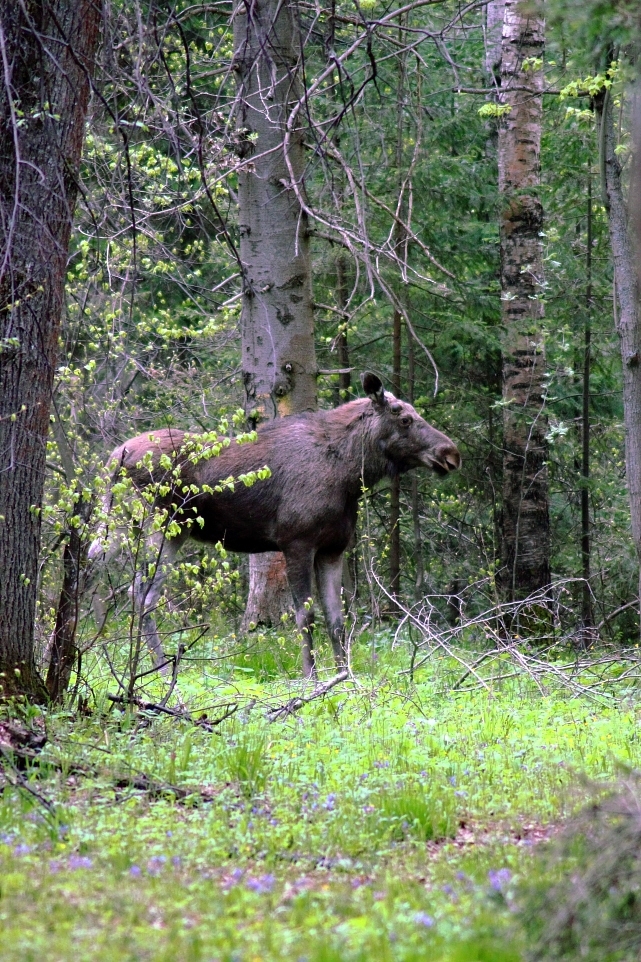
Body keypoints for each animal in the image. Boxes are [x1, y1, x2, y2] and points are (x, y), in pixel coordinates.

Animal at [90, 372, 460, 680]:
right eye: (404, 418)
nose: (451, 453)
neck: (350, 475)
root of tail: (113, 457)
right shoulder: (296, 543)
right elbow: (305, 617)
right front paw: (311, 677)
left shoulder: (333, 549)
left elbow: (337, 620)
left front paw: (345, 675)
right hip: (160, 526)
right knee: (139, 592)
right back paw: (159, 668)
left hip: (134, 527)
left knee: (98, 569)